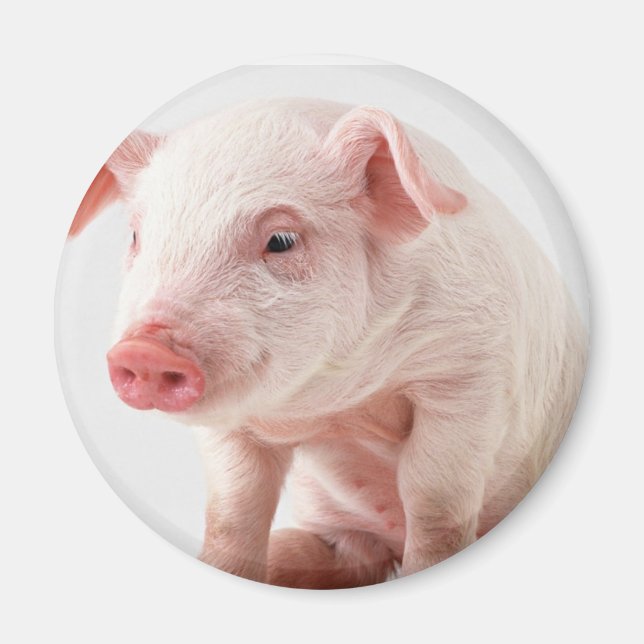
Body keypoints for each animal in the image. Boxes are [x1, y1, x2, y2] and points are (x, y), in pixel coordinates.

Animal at [69, 97, 587, 588]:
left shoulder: (471, 373)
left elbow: (434, 499)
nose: (145, 349)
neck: (339, 406)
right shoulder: (228, 429)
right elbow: (233, 509)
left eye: (281, 240)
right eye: (136, 235)